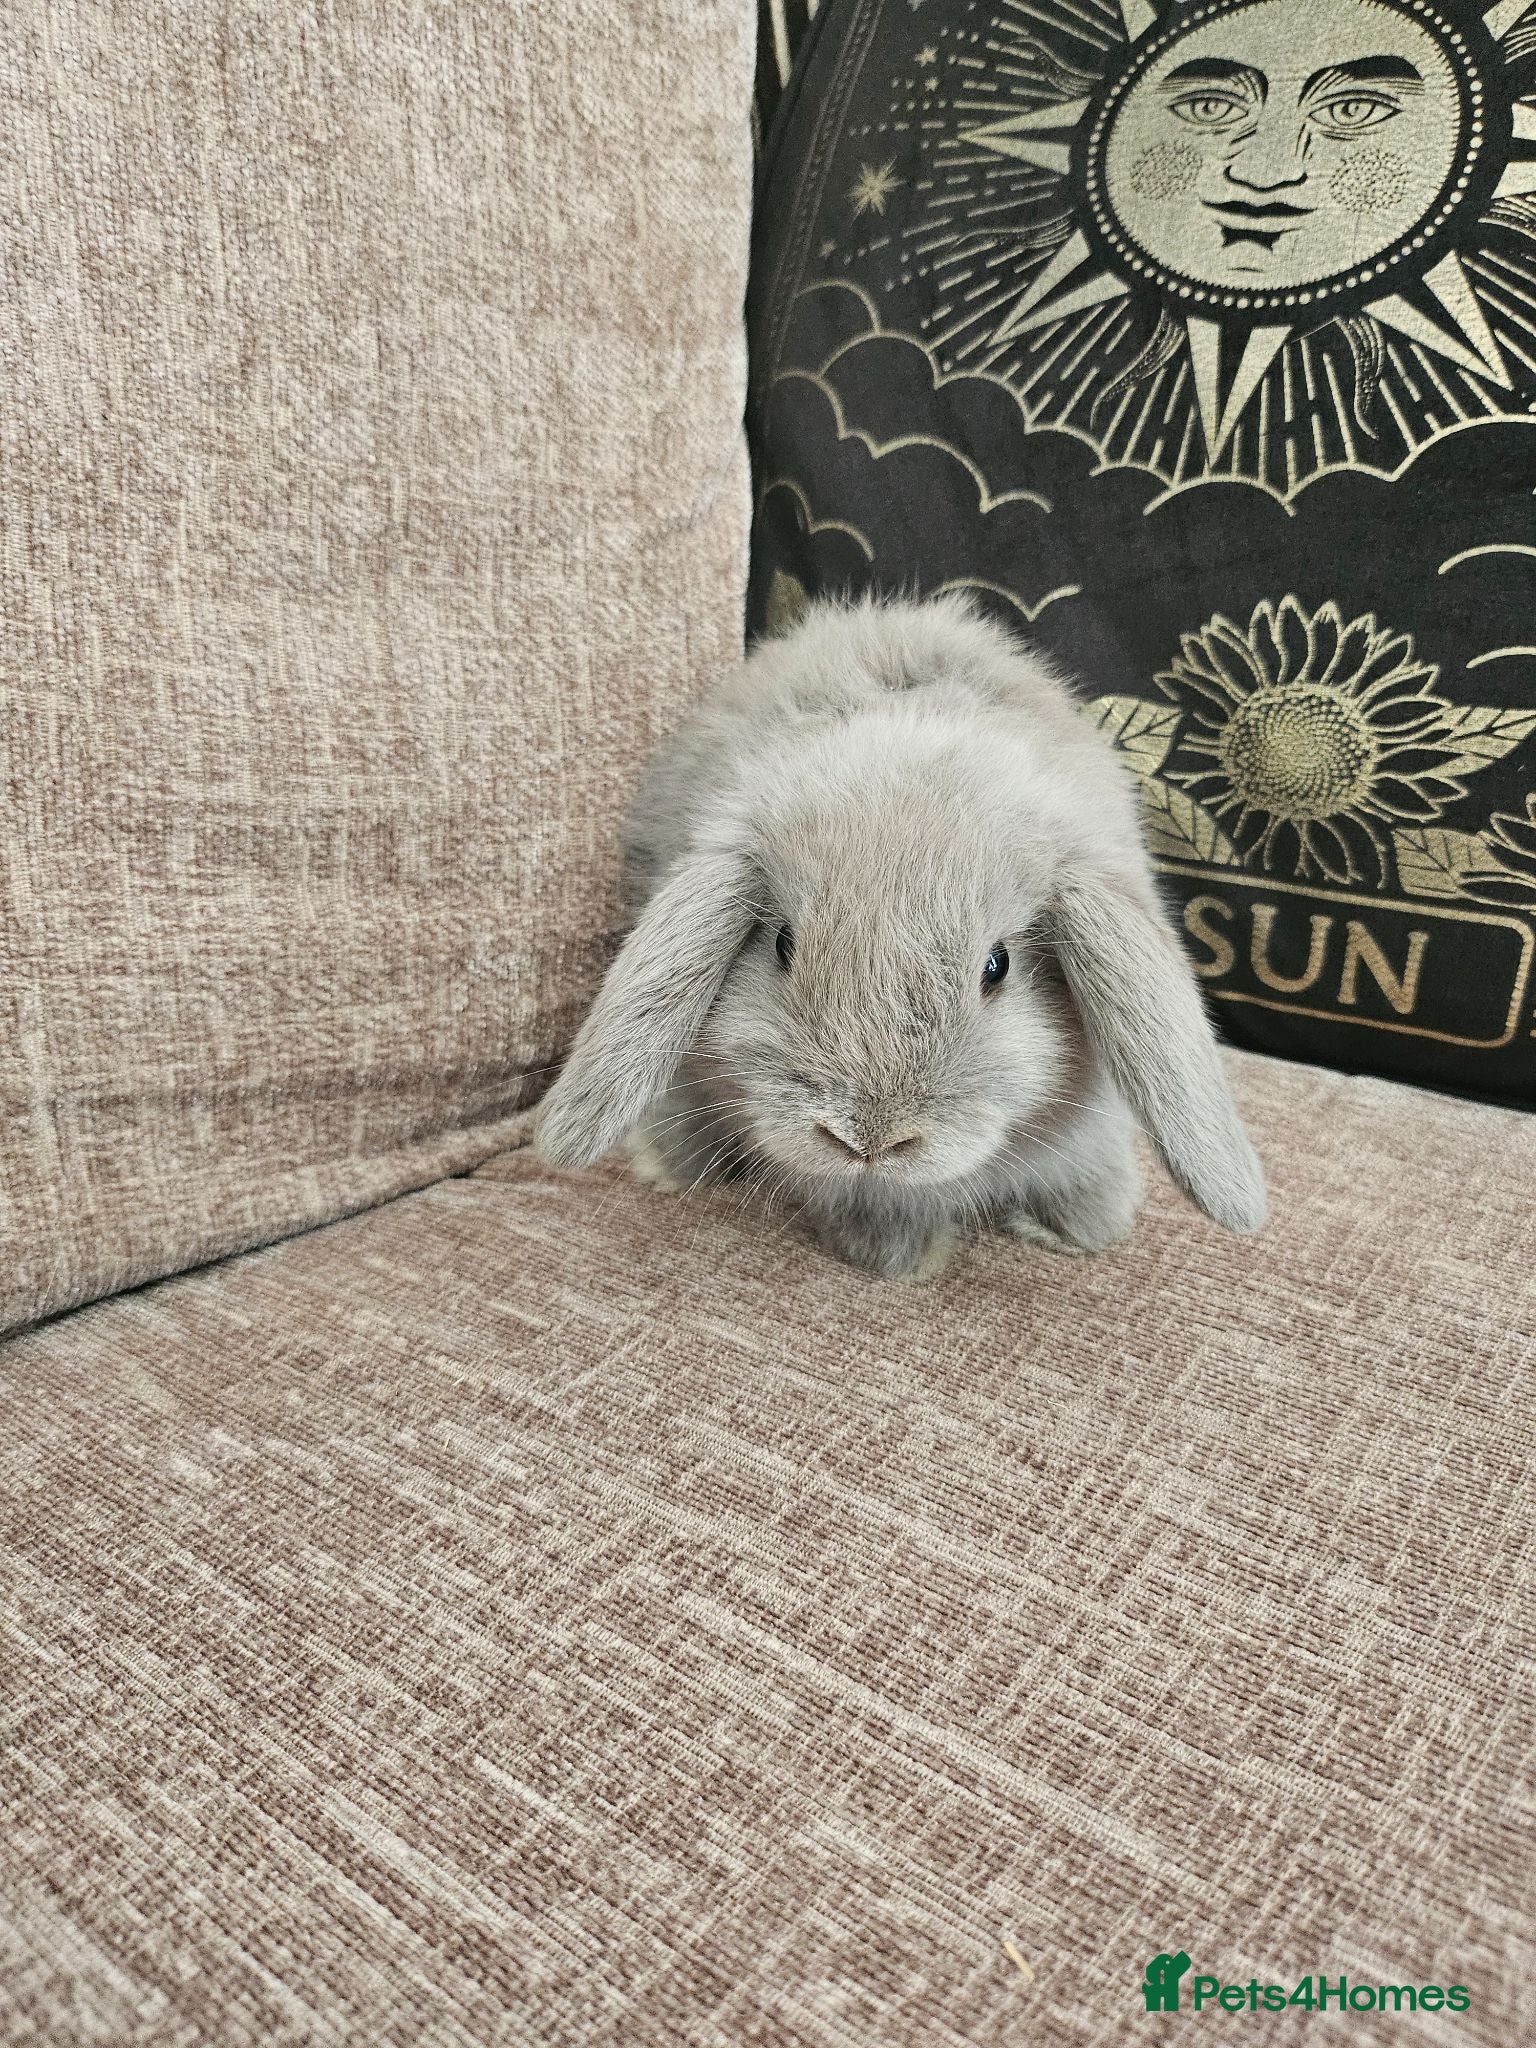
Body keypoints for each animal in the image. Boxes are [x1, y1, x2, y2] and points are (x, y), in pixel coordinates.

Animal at [534, 593, 1266, 1281]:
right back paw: (669, 1164)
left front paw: (1087, 1229)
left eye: (997, 966)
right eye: (783, 945)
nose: (870, 1142)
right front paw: (903, 1258)